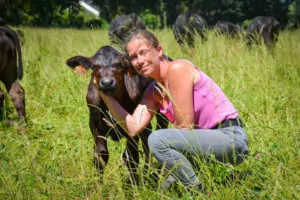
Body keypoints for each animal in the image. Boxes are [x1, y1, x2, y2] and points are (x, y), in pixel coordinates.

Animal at [66, 45, 169, 186]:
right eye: (95, 67)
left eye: (119, 65)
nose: (107, 82)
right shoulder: (95, 126)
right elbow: (101, 156)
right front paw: (99, 188)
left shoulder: (131, 129)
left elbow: (131, 157)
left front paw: (135, 186)